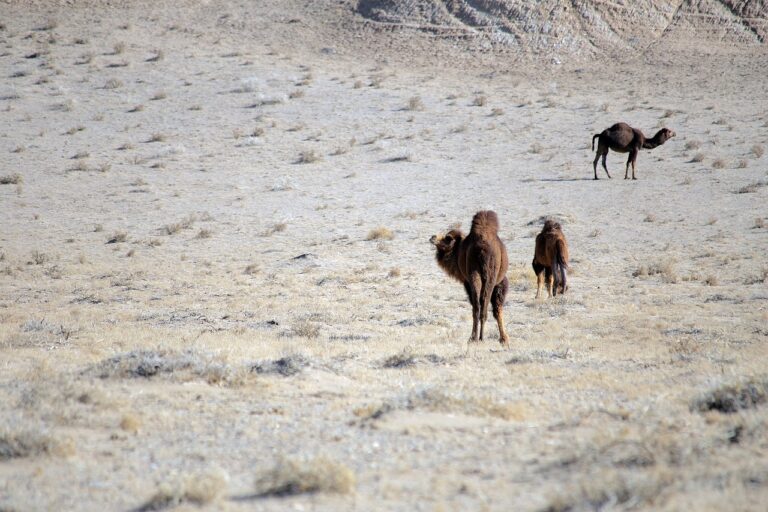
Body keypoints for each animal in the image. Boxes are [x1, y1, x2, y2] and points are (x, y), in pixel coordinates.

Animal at [432, 209, 510, 348]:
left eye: (447, 239)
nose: (433, 237)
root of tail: (482, 248)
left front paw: (504, 339)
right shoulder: (498, 282)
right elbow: (497, 309)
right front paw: (504, 339)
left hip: (478, 276)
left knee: (478, 305)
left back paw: (476, 338)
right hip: (485, 277)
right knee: (481, 305)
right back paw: (477, 338)